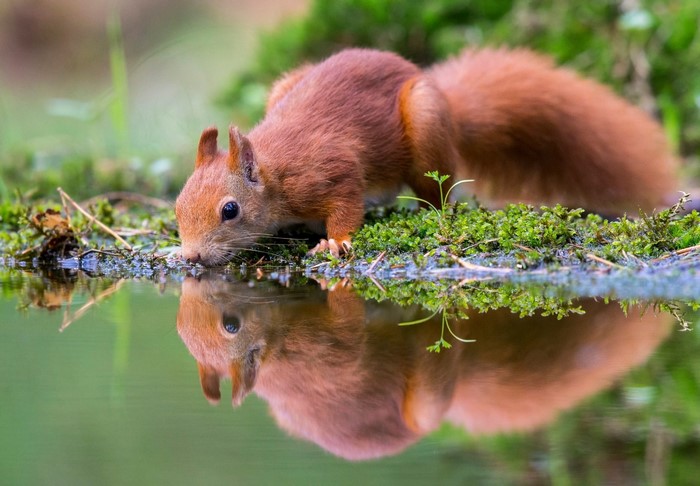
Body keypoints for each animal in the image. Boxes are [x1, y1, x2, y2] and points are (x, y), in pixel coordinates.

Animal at [175, 48, 679, 265]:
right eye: (178, 206)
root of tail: (449, 104)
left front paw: (336, 242)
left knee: (439, 194)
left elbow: (346, 206)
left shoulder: (331, 172)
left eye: (230, 210)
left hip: (426, 129)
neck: (275, 173)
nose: (193, 257)